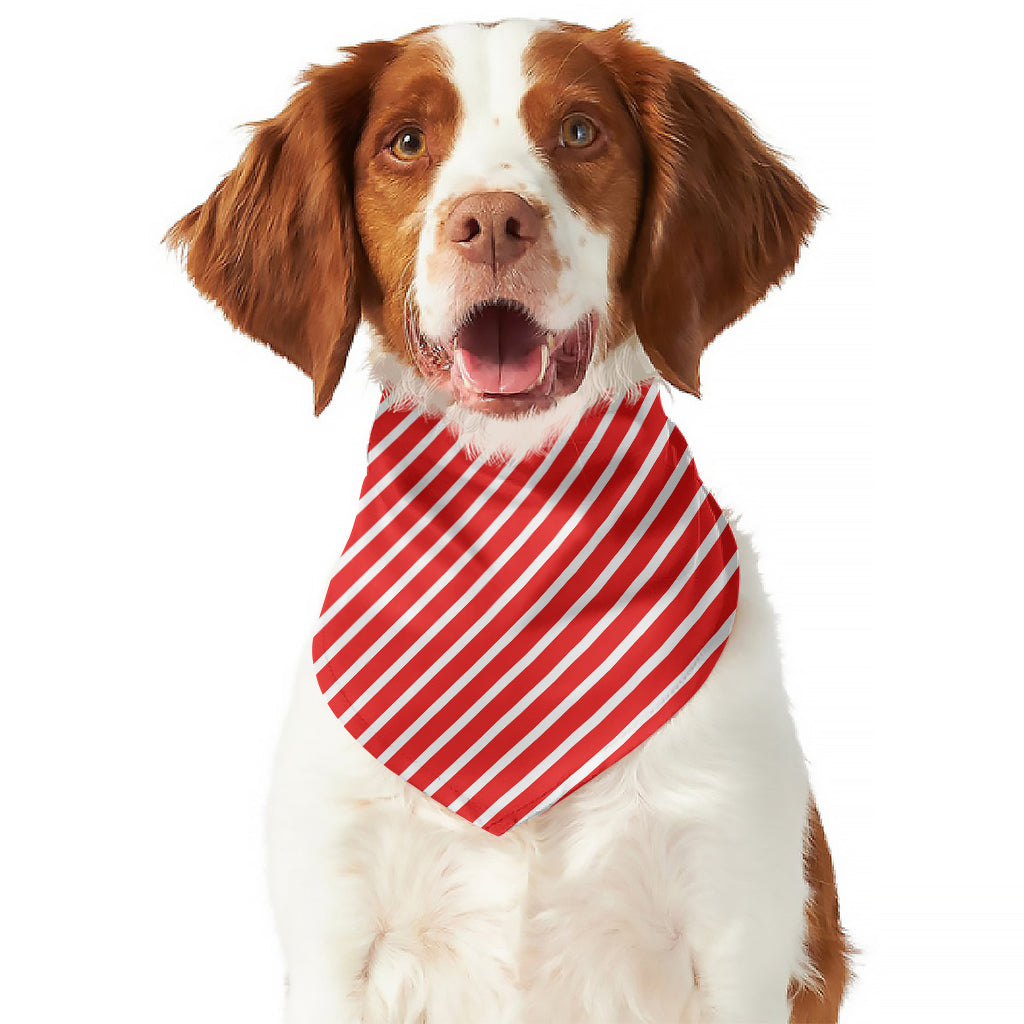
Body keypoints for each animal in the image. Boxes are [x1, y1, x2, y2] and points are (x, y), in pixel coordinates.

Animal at [167, 16, 851, 1024]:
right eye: (406, 142)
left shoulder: (737, 923)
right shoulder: (336, 929)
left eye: (579, 131)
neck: (519, 496)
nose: (492, 221)